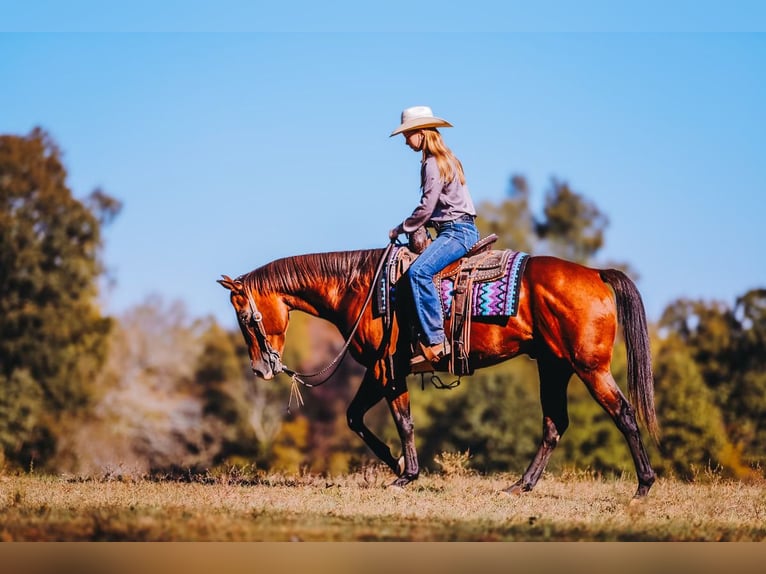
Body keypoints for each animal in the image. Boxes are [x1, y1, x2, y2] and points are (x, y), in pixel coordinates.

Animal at [218, 245, 658, 501]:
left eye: (246, 317)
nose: (261, 368)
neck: (362, 287)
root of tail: (596, 273)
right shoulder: (379, 370)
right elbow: (355, 417)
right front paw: (397, 465)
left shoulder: (387, 369)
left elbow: (403, 420)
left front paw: (406, 474)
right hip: (555, 367)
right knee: (554, 425)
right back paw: (520, 485)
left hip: (589, 368)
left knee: (623, 414)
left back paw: (643, 486)